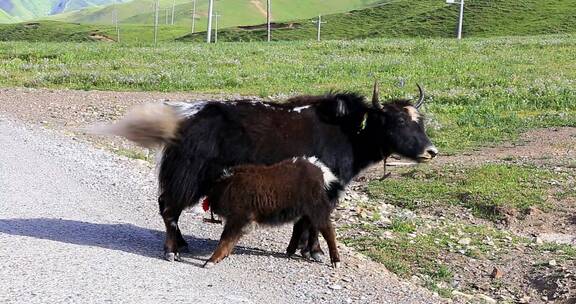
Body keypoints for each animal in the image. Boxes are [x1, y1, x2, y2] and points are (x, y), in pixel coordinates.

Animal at [205, 157, 344, 268]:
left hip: (317, 211)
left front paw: (210, 261)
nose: (214, 208)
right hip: (304, 213)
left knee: (327, 231)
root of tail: (319, 171)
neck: (229, 185)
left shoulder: (239, 219)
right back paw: (290, 251)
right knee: (302, 227)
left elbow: (225, 239)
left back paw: (335, 261)